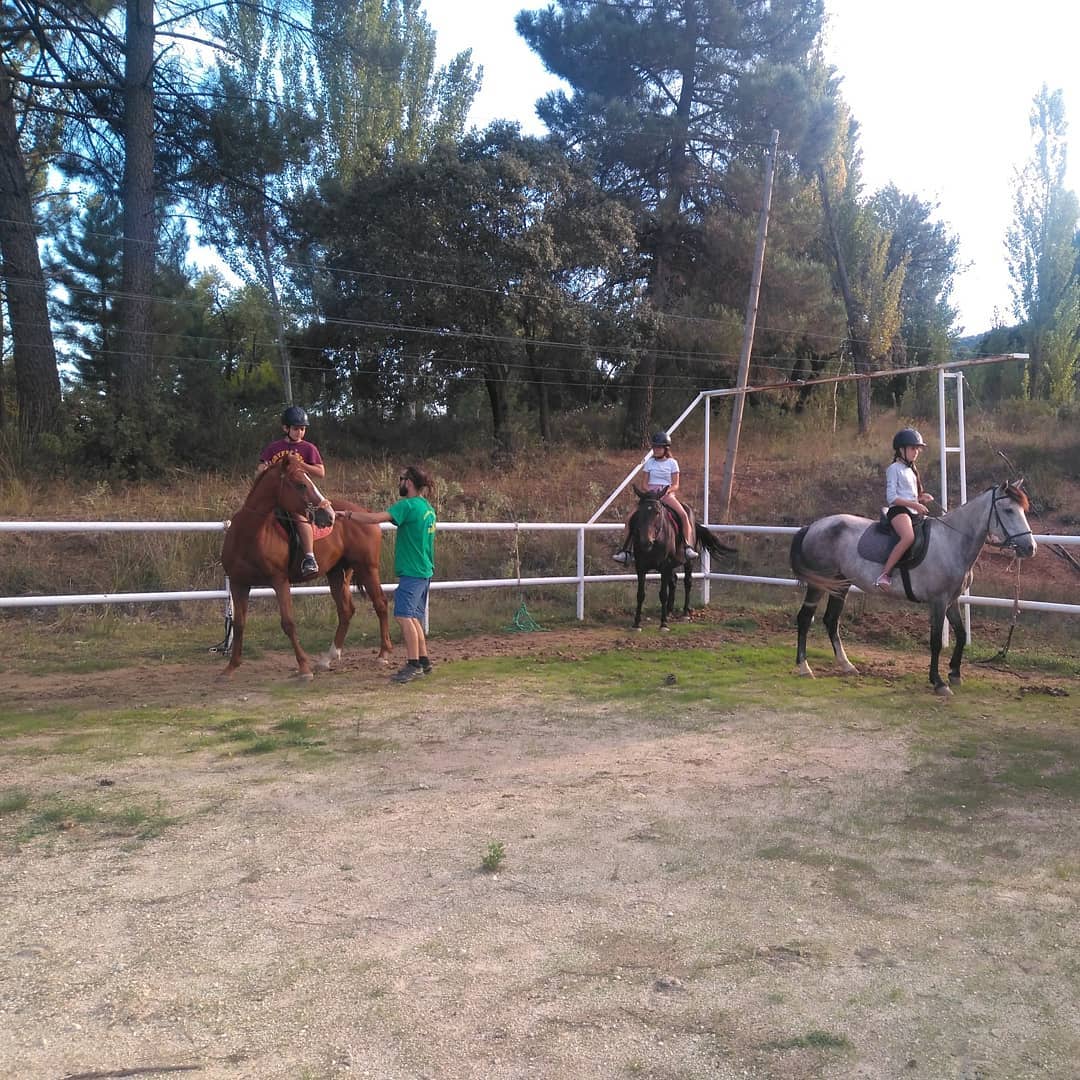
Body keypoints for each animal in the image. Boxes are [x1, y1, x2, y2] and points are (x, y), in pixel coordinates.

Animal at [219, 454, 393, 680]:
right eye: (301, 484)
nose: (329, 514)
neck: (248, 536)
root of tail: (365, 512)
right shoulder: (238, 584)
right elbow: (239, 624)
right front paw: (230, 667)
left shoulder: (279, 581)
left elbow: (288, 623)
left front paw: (303, 668)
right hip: (337, 573)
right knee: (346, 610)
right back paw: (328, 658)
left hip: (367, 568)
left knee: (380, 604)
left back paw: (383, 654)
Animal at [626, 485, 738, 630]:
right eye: (639, 513)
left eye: (657, 512)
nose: (646, 542)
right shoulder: (641, 567)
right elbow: (640, 594)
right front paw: (636, 623)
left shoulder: (665, 566)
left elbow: (663, 594)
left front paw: (663, 624)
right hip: (672, 565)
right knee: (673, 581)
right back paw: (669, 611)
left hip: (687, 562)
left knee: (687, 582)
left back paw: (685, 612)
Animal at [789, 481, 1036, 696]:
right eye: (1008, 510)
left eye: (1023, 510)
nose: (1030, 548)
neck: (951, 541)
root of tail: (813, 526)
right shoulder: (937, 601)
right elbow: (936, 641)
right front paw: (938, 682)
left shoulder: (952, 600)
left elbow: (961, 633)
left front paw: (954, 673)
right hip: (818, 584)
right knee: (805, 618)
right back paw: (804, 667)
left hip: (840, 584)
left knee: (831, 620)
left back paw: (846, 665)